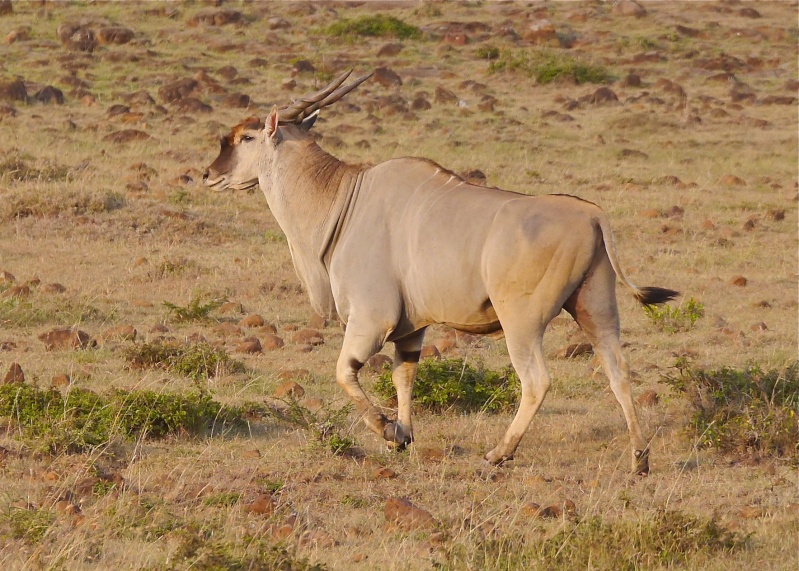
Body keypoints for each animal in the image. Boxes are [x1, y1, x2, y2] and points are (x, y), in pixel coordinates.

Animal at [203, 70, 680, 474]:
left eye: (246, 137)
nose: (208, 174)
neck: (344, 197)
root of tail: (592, 215)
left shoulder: (370, 320)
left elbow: (344, 372)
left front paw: (388, 430)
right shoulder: (411, 331)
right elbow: (404, 376)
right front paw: (403, 436)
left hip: (521, 322)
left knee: (537, 381)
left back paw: (498, 453)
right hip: (595, 311)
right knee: (618, 372)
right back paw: (639, 458)